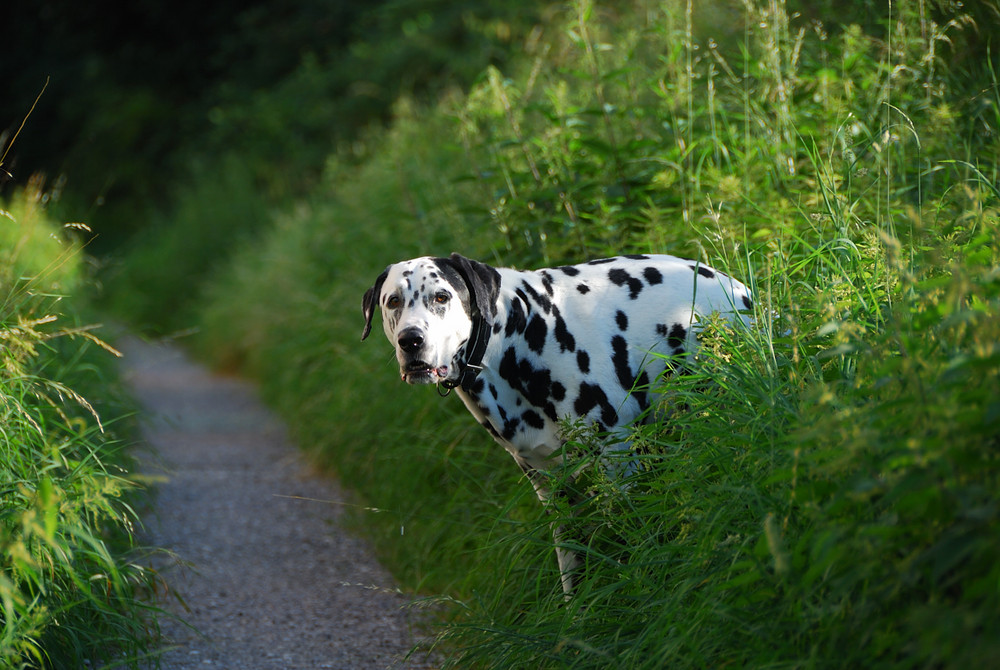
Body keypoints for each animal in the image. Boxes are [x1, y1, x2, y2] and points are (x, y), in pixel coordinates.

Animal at [360, 255, 752, 596]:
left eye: (441, 297)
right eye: (393, 301)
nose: (411, 340)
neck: (515, 338)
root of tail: (739, 290)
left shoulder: (620, 469)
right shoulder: (555, 491)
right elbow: (572, 571)